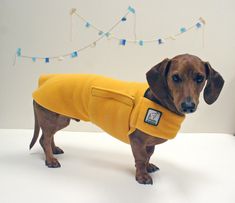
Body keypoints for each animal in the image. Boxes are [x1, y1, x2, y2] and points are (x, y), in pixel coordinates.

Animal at [29, 54, 224, 184]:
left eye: (200, 78)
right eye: (175, 77)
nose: (188, 106)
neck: (160, 102)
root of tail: (44, 80)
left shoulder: (149, 143)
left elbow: (147, 156)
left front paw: (148, 167)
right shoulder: (136, 140)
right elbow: (140, 158)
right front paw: (142, 176)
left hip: (60, 119)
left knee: (49, 136)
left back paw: (54, 150)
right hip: (52, 117)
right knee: (44, 139)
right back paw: (50, 160)